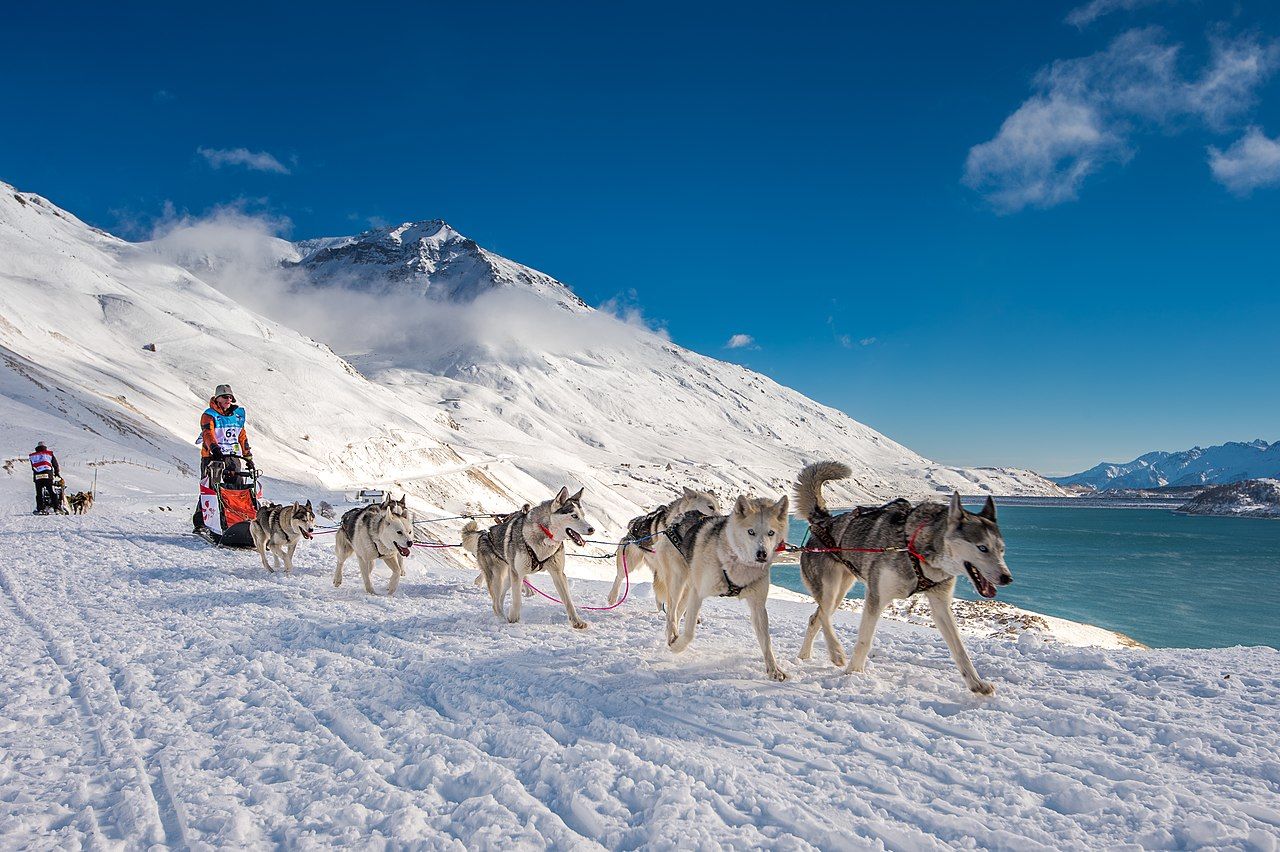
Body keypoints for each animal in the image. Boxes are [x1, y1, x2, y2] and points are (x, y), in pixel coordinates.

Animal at [463, 483, 596, 624]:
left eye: (583, 515)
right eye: (574, 516)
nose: (592, 529)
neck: (545, 537)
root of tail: (484, 534)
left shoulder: (558, 573)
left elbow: (568, 601)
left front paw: (577, 622)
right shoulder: (518, 573)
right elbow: (517, 600)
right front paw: (514, 620)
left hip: (507, 575)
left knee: (500, 598)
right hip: (497, 576)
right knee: (495, 603)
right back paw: (502, 619)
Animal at [655, 491, 793, 675]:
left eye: (771, 533)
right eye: (751, 532)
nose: (762, 554)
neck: (736, 563)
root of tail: (680, 518)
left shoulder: (758, 606)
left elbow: (766, 641)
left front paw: (774, 669)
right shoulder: (698, 594)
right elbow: (690, 632)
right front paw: (678, 647)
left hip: (688, 589)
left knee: (676, 613)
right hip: (678, 583)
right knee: (671, 613)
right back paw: (673, 637)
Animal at [793, 460, 1013, 695]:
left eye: (1001, 550)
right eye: (982, 548)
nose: (1007, 578)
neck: (915, 547)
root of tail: (823, 521)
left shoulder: (940, 604)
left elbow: (960, 650)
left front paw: (976, 683)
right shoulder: (876, 597)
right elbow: (864, 640)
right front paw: (853, 673)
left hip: (841, 590)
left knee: (815, 618)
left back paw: (804, 656)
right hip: (830, 588)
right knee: (824, 614)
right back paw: (836, 652)